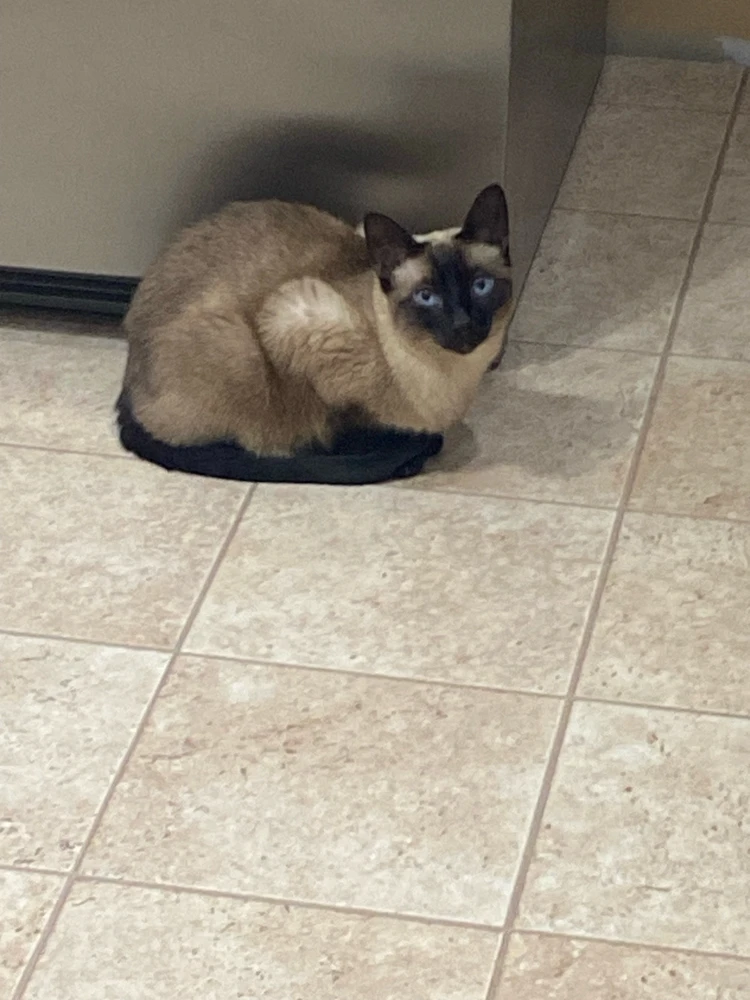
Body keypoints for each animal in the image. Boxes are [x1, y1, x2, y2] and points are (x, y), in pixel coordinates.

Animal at [116, 183, 512, 484]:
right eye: (426, 297)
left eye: (480, 286)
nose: (463, 325)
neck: (449, 383)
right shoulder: (295, 319)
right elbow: (346, 427)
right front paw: (401, 450)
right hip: (242, 354)